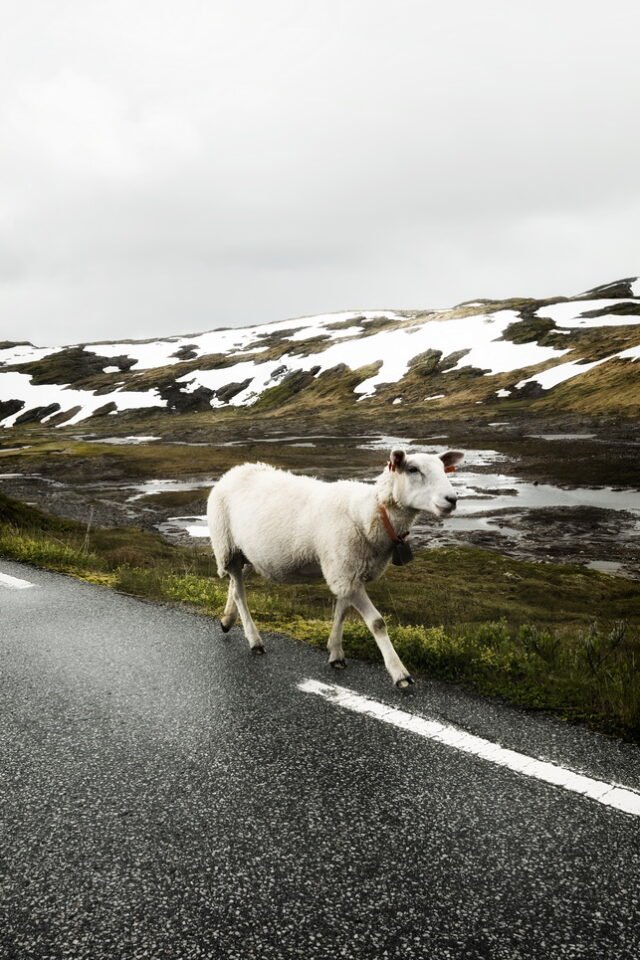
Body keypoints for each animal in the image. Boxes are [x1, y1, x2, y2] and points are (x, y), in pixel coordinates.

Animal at [207, 447, 463, 688]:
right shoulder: (345, 571)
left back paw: (227, 619)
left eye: (444, 469)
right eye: (413, 469)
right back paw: (254, 640)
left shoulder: (346, 571)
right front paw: (400, 673)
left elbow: (342, 611)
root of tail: (234, 471)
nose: (452, 499)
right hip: (226, 545)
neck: (369, 513)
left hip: (248, 554)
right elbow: (377, 623)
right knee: (239, 592)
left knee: (235, 584)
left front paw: (336, 653)